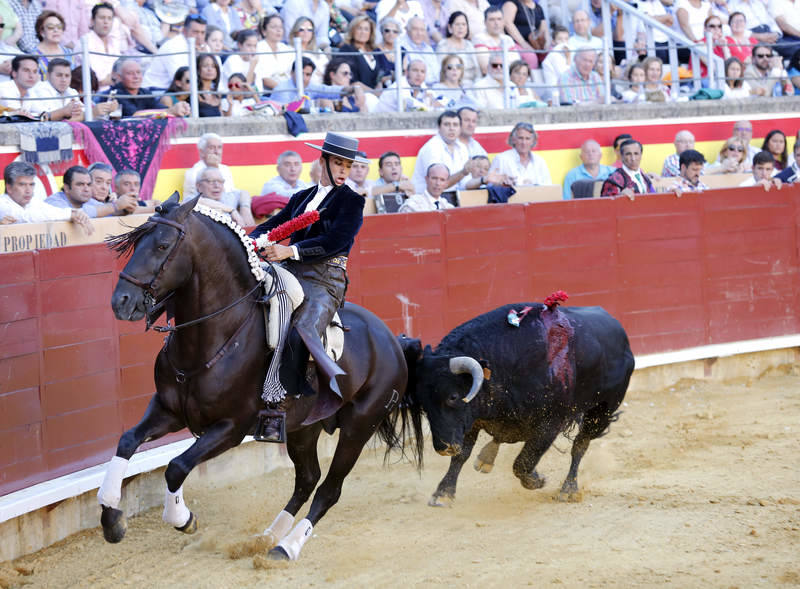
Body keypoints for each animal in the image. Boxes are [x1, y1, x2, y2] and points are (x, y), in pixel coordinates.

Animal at [99, 194, 422, 560]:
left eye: (163, 245)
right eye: (137, 241)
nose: (121, 301)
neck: (214, 335)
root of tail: (393, 341)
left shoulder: (231, 427)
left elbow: (177, 466)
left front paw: (183, 519)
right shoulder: (168, 410)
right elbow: (127, 440)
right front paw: (111, 520)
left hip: (359, 426)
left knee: (329, 489)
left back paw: (286, 547)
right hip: (303, 428)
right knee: (307, 478)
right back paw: (267, 537)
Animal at [404, 304, 636, 506]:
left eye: (452, 396)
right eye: (422, 403)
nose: (443, 448)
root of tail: (621, 334)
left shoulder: (551, 423)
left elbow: (523, 462)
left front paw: (536, 480)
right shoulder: (471, 420)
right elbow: (462, 455)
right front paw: (443, 493)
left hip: (601, 412)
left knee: (580, 445)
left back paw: (569, 489)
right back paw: (486, 458)